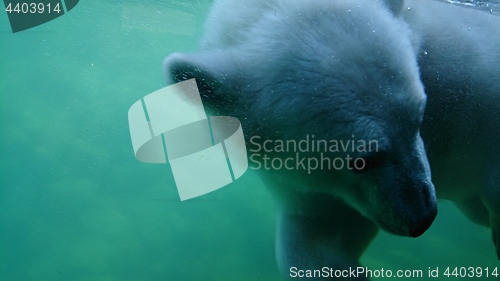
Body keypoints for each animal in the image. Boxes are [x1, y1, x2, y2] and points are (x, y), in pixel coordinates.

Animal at [163, 0, 496, 278]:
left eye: (419, 117)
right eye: (361, 161)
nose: (423, 217)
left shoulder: (463, 76)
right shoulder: (303, 185)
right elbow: (314, 234)